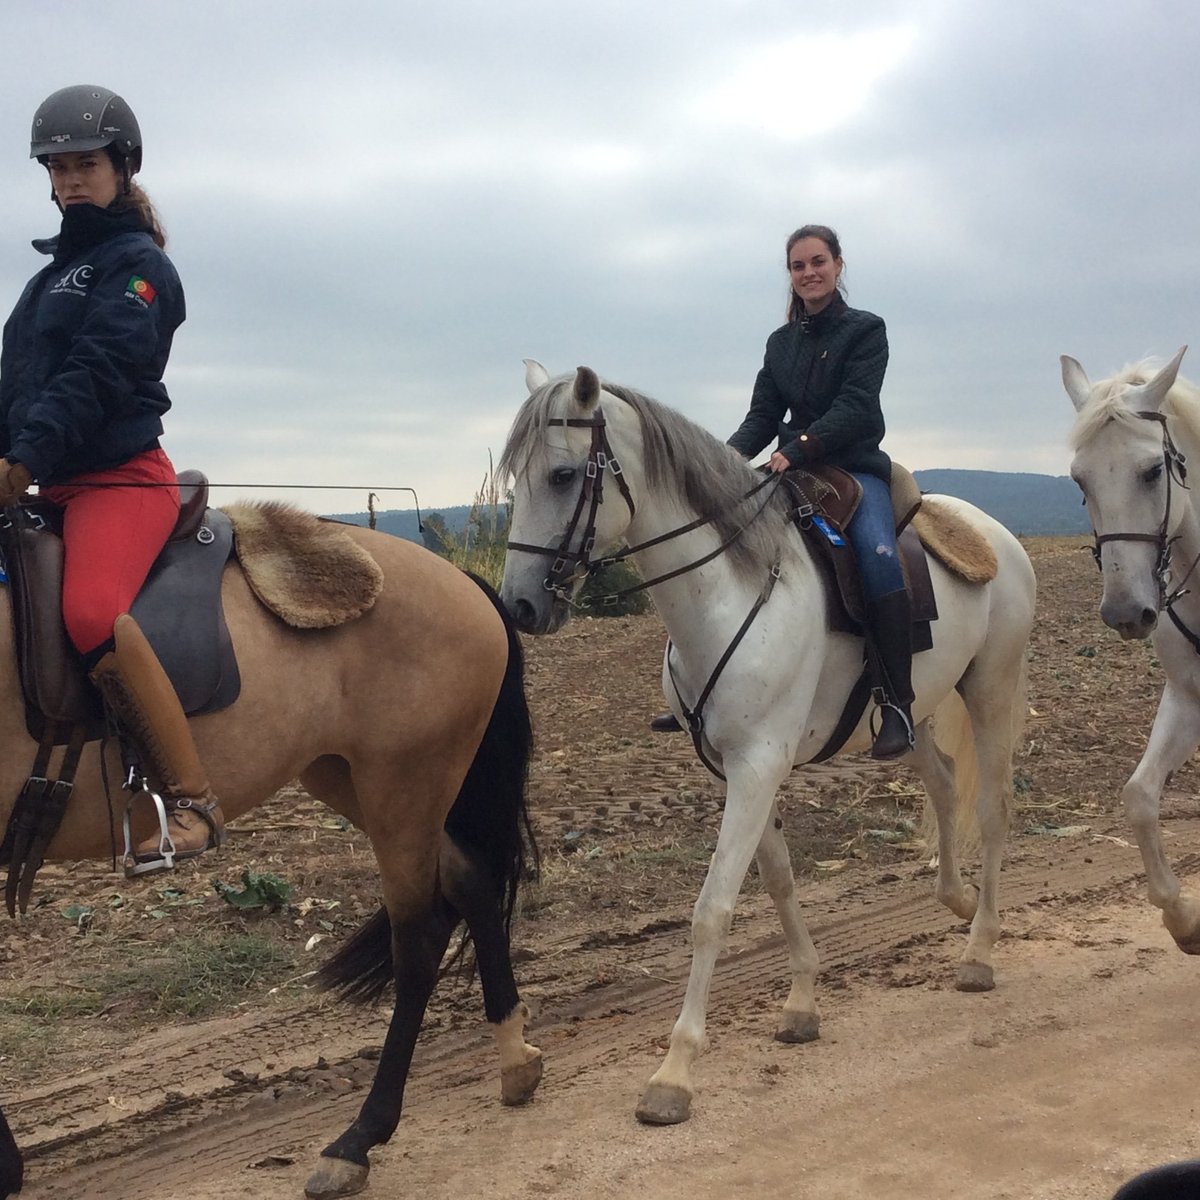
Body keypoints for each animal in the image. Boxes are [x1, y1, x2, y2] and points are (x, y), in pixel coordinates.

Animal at [0, 494, 540, 1200]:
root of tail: (461, 581)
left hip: (403, 784)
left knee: (418, 943)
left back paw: (358, 1139)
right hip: (360, 782)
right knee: (470, 881)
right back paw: (514, 1058)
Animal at [501, 362, 1036, 1123]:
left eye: (564, 474)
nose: (518, 604)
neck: (727, 591)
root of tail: (995, 534)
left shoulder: (758, 767)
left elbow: (713, 909)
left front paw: (674, 1072)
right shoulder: (738, 769)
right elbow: (779, 880)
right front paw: (802, 1002)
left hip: (990, 689)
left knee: (991, 811)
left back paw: (979, 950)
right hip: (912, 713)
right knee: (939, 778)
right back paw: (955, 901)